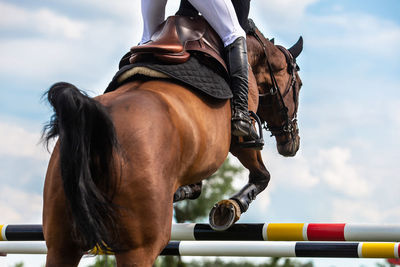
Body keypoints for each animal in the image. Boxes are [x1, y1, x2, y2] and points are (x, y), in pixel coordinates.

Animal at [41, 17, 304, 266]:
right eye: (299, 85)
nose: (292, 143)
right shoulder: (241, 139)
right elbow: (262, 175)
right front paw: (229, 207)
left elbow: (196, 187)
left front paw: (186, 193)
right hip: (139, 248)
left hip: (61, 244)